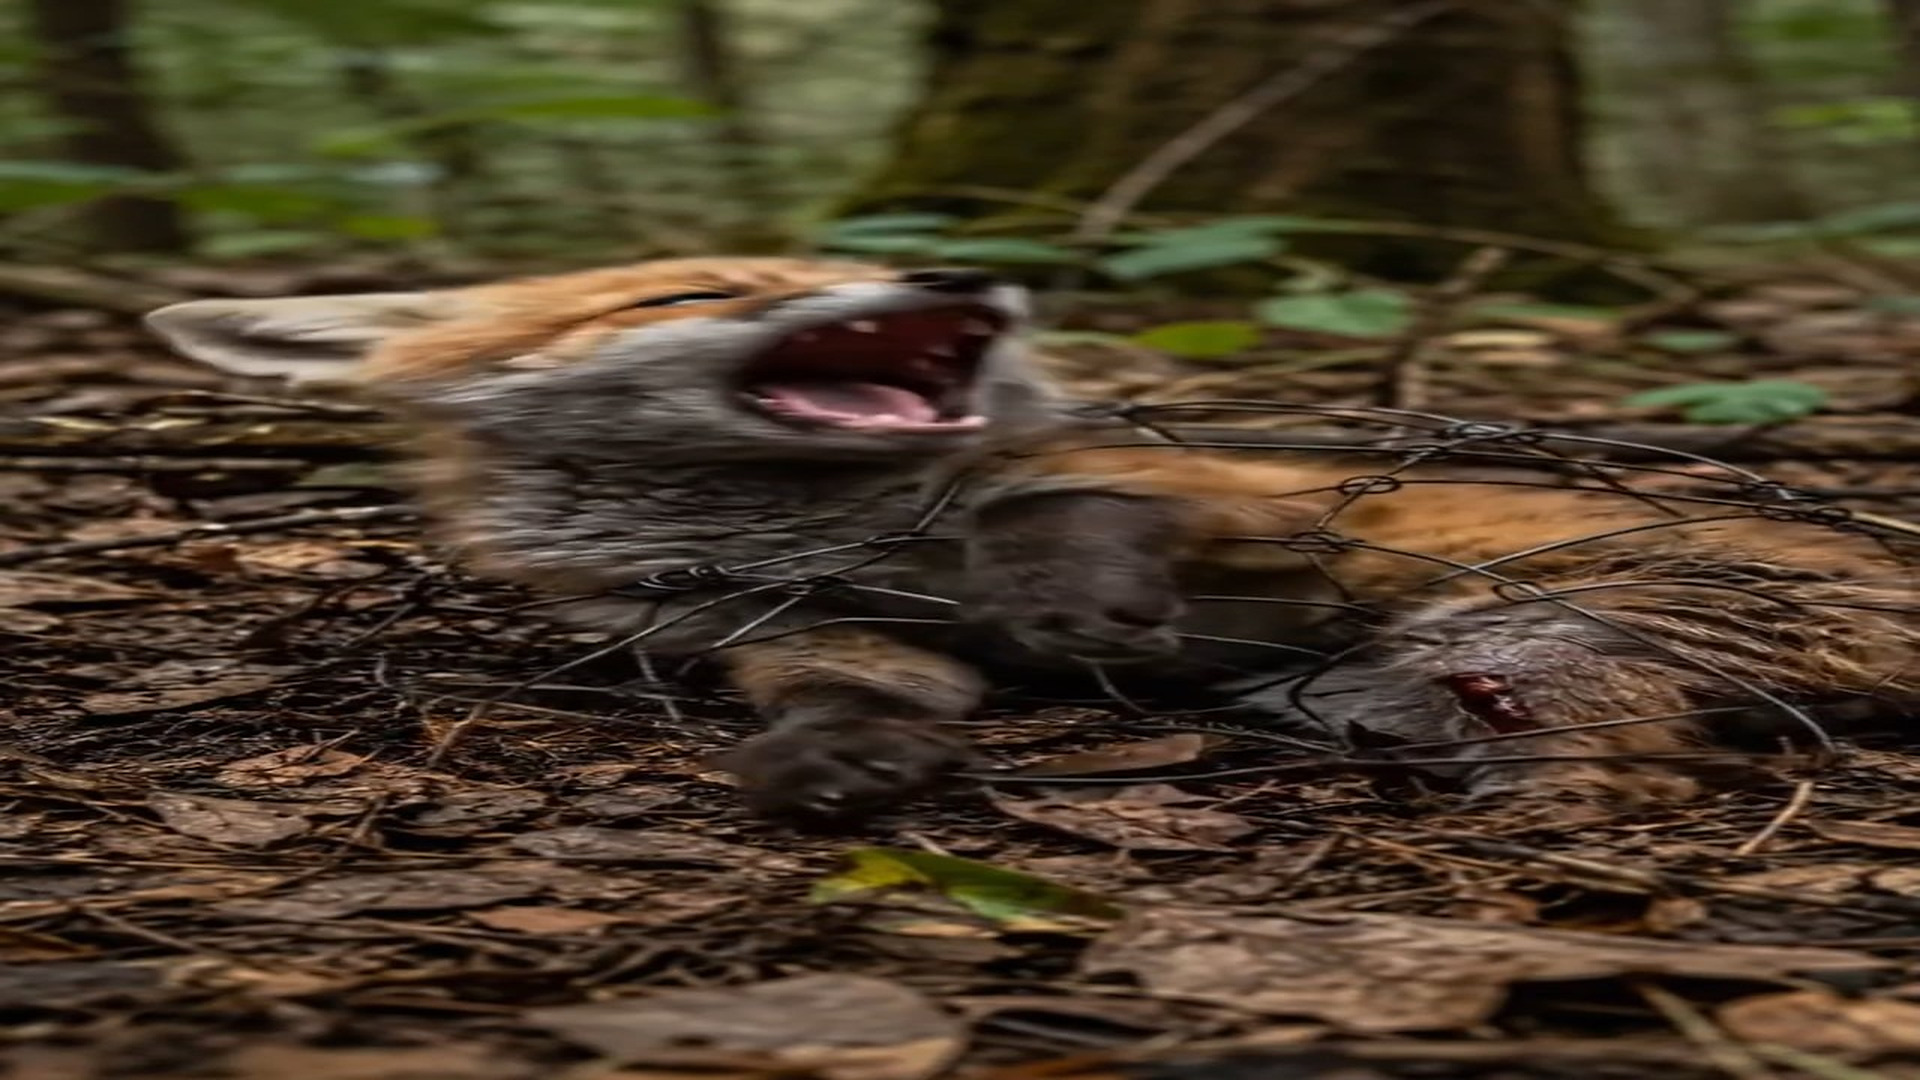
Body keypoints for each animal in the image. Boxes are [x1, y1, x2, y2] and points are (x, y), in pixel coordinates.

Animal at [144, 257, 1920, 820]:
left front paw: (1088, 608)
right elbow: (859, 698)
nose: (969, 279)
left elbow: (1091, 514)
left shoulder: (1248, 518)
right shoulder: (772, 632)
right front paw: (841, 767)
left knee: (1625, 736)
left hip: (1550, 617)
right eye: (697, 290)